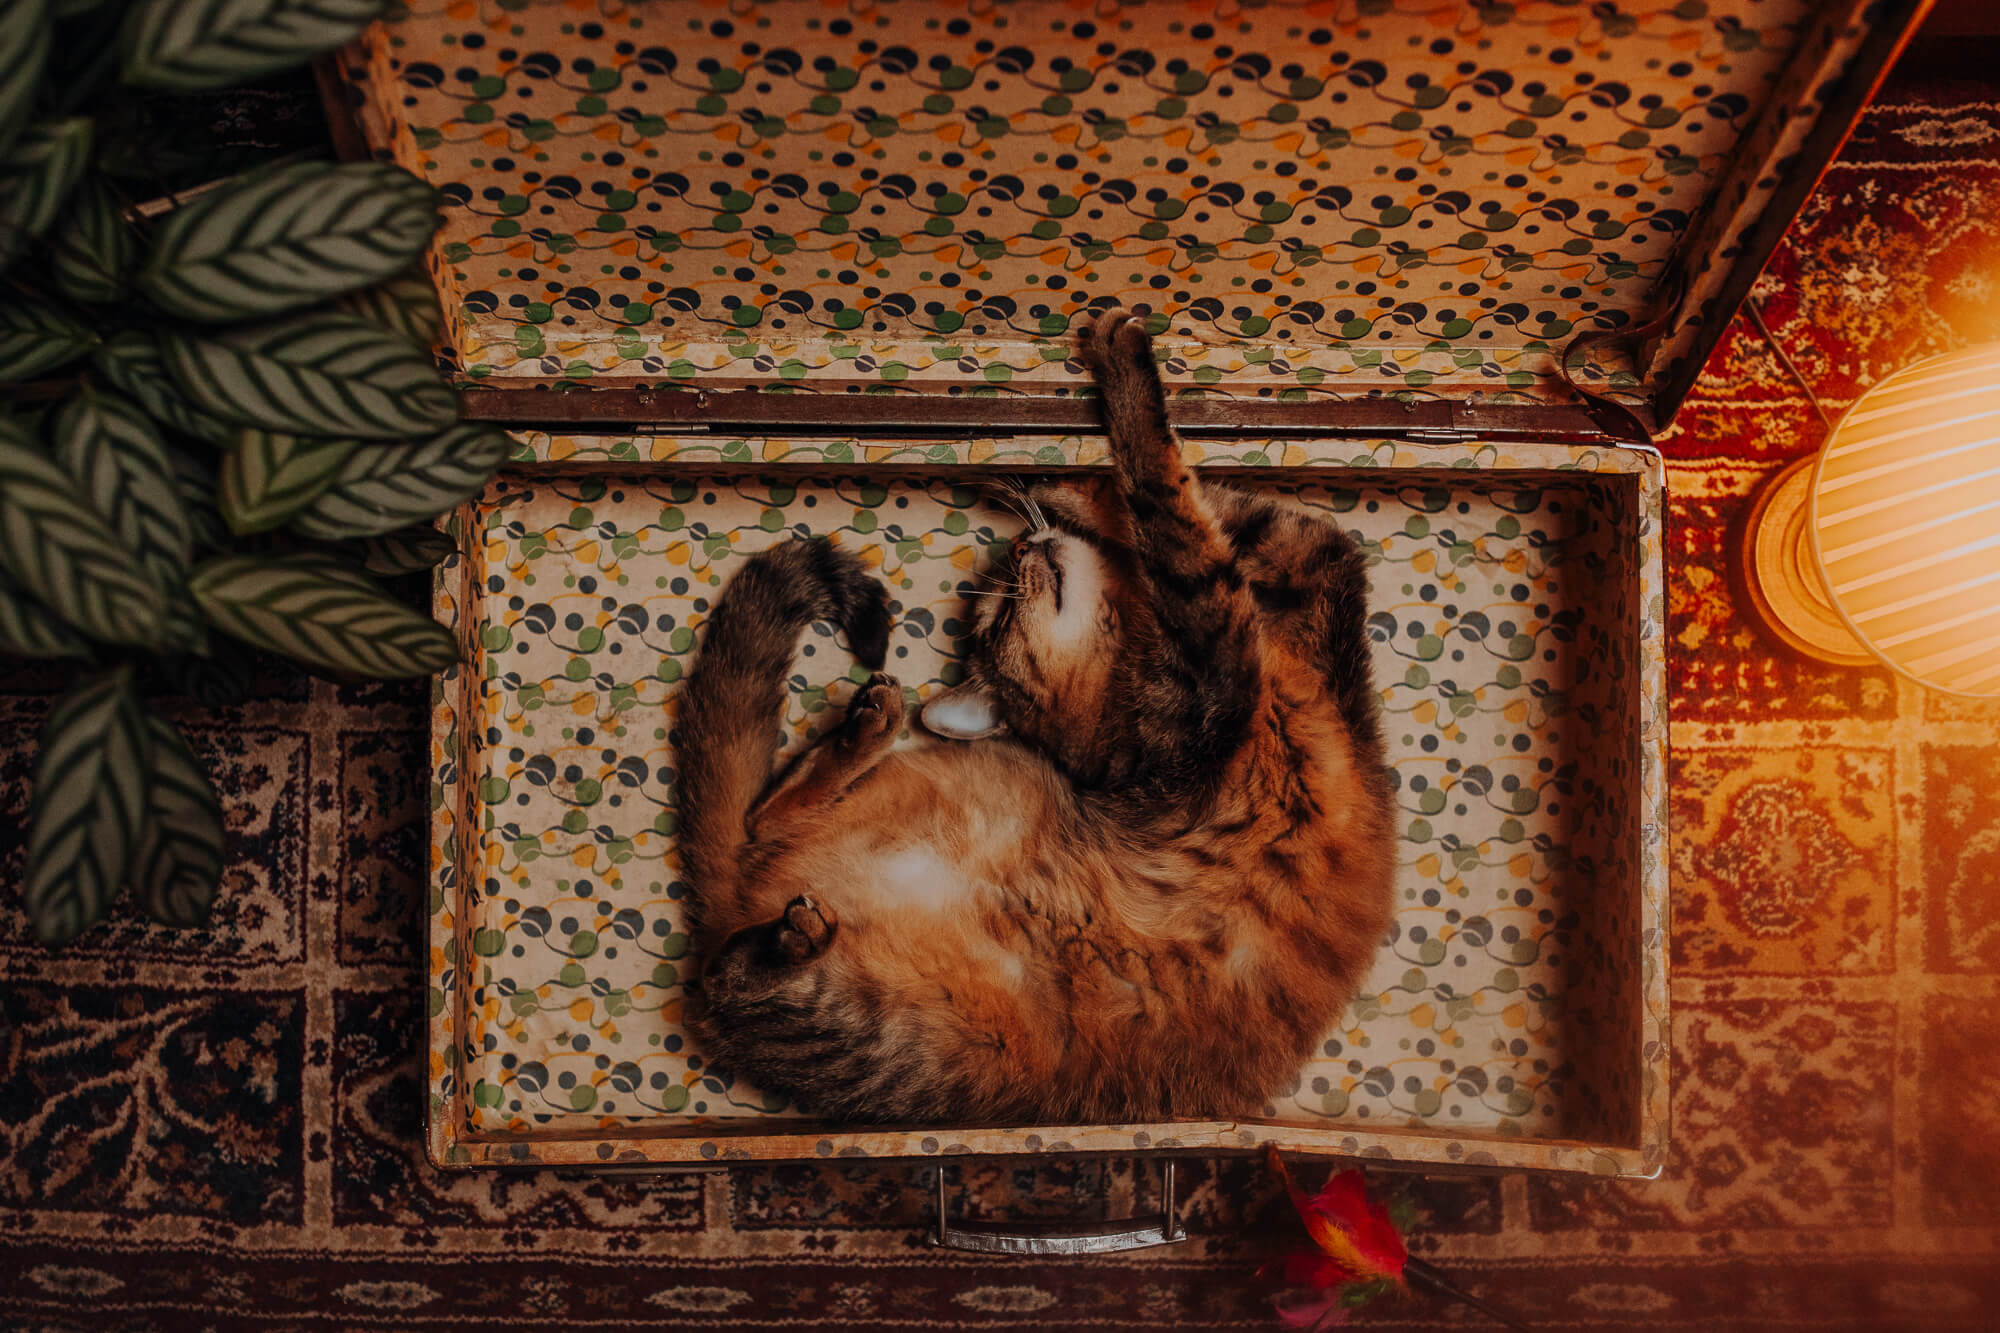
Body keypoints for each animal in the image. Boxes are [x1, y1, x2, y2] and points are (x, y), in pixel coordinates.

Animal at [674, 306, 1397, 1125]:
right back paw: (802, 909)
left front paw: (1029, 473)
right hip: (866, 1028)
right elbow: (1168, 500)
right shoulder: (1212, 668)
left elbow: (1201, 507)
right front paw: (1116, 373)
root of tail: (744, 899)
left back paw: (867, 735)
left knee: (763, 830)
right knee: (737, 936)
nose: (1021, 542)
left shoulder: (1312, 571)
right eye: (994, 619)